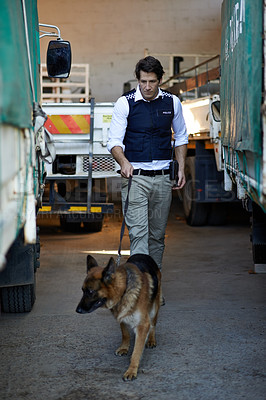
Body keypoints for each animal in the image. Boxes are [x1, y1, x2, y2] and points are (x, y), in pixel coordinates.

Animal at [76, 253, 161, 382]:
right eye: (82, 290)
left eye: (90, 291)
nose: (77, 310)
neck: (124, 290)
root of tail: (143, 254)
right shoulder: (121, 317)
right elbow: (125, 334)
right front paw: (124, 348)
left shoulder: (143, 324)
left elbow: (136, 351)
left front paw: (131, 370)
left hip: (154, 308)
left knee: (153, 324)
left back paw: (151, 339)